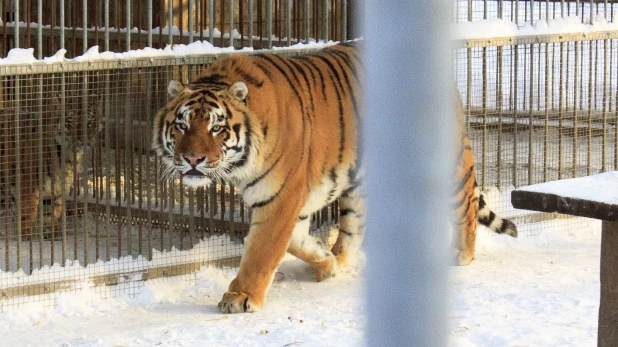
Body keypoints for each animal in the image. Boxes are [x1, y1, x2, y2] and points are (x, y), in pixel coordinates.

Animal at [0, 93, 102, 242]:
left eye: (89, 123)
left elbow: (51, 211)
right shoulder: (27, 183)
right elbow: (27, 210)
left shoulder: (56, 186)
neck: (67, 156)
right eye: (71, 121)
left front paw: (54, 232)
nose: (82, 141)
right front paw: (26, 234)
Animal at [153, 41, 516, 316]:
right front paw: (325, 262)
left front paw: (241, 297)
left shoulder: (280, 197)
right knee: (355, 228)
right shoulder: (290, 199)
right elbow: (296, 241)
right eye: (182, 125)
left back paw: (461, 254)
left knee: (467, 204)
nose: (193, 159)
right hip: (359, 187)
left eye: (216, 127)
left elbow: (261, 251)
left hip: (445, 163)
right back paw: (340, 260)